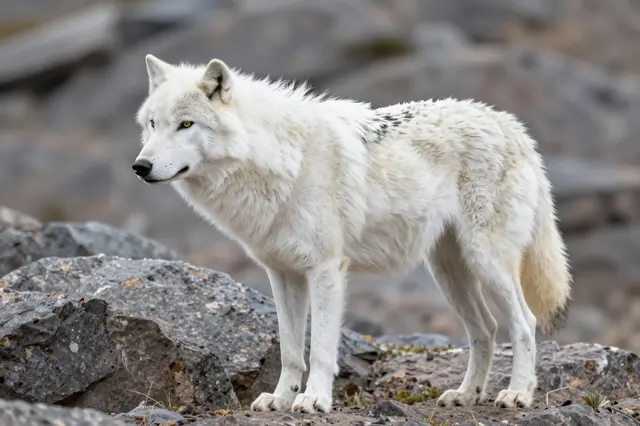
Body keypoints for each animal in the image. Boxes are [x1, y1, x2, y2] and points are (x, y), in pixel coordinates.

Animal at [133, 54, 572, 413]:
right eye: (153, 124)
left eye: (186, 124)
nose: (140, 166)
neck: (280, 161)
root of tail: (509, 123)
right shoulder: (283, 274)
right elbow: (291, 350)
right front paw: (280, 399)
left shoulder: (327, 269)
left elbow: (322, 349)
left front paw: (314, 400)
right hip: (450, 274)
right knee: (487, 330)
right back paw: (466, 395)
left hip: (487, 263)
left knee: (524, 323)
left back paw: (517, 393)